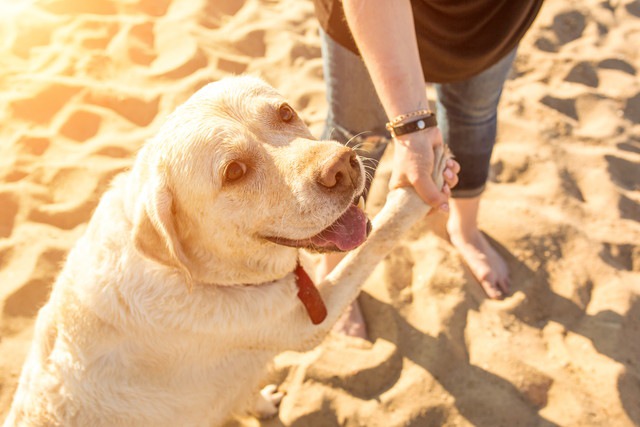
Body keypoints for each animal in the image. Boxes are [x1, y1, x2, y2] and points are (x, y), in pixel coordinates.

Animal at [2, 75, 448, 426]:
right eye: (234, 171)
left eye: (286, 112)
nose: (343, 164)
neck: (200, 272)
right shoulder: (305, 325)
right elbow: (380, 237)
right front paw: (419, 183)